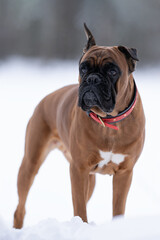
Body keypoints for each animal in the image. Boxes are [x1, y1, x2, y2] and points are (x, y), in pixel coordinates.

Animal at [13, 23, 145, 228]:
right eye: (83, 68)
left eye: (112, 71)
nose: (92, 79)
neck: (109, 121)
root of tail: (46, 98)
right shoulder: (78, 170)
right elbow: (80, 208)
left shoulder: (124, 173)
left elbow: (117, 208)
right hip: (30, 164)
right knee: (20, 208)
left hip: (90, 179)